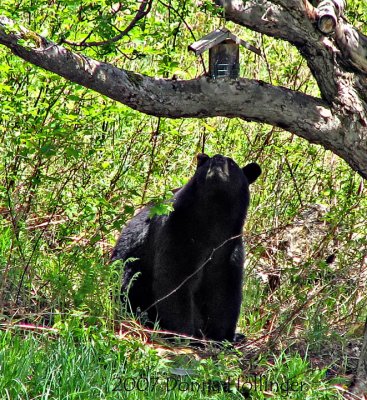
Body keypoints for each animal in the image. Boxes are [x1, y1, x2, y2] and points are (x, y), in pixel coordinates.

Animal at [112, 153, 262, 340]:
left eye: (232, 163)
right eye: (207, 161)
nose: (218, 159)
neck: (214, 217)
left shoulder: (229, 246)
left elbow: (224, 289)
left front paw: (222, 336)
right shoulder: (179, 232)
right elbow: (175, 281)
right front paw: (186, 335)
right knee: (129, 282)